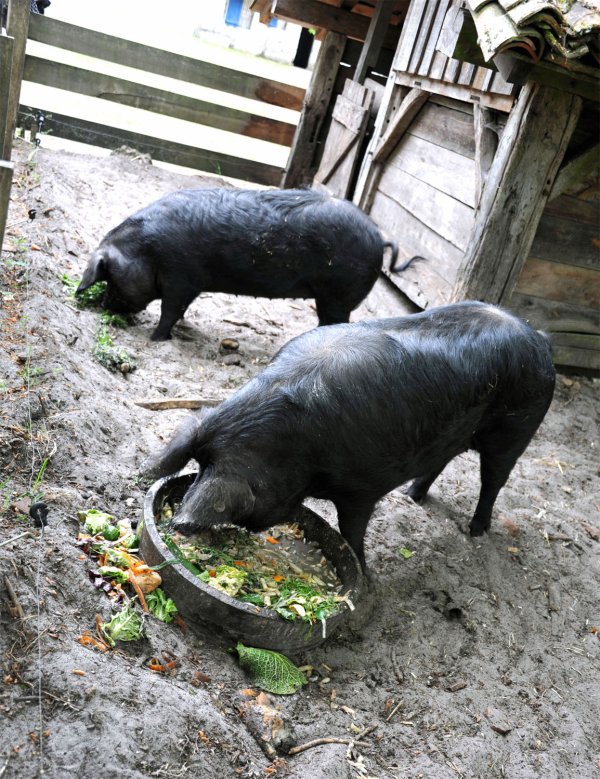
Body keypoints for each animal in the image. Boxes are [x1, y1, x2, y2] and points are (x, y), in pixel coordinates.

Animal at [76, 188, 404, 342]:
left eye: (110, 277)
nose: (104, 305)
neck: (147, 250)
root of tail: (379, 238)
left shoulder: (181, 277)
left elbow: (169, 310)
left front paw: (155, 339)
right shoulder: (190, 284)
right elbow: (179, 311)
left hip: (337, 295)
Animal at [143, 304, 556, 568]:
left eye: (253, 497)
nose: (252, 529)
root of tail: (538, 338)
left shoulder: (363, 486)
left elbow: (350, 529)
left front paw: (365, 574)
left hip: (518, 428)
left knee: (493, 480)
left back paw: (475, 530)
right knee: (439, 462)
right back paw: (413, 498)